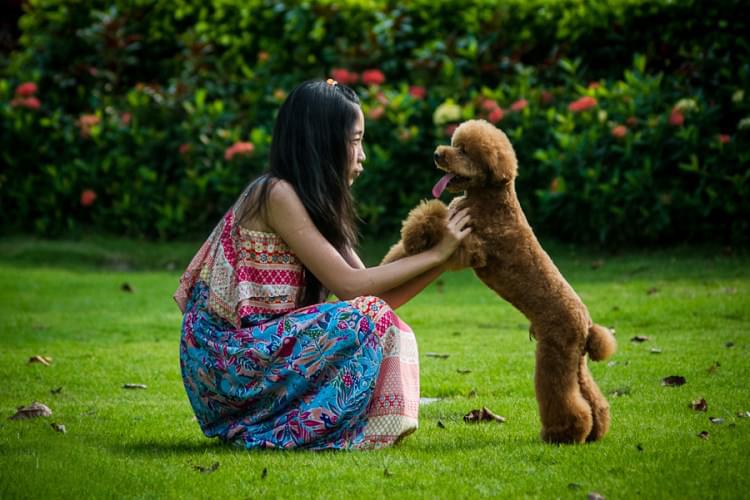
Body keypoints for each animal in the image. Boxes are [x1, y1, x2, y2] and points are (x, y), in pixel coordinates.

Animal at [384, 119, 620, 444]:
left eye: (464, 151)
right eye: (454, 144)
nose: (437, 154)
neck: (489, 199)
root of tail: (587, 326)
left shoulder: (471, 246)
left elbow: (432, 215)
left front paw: (412, 236)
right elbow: (409, 243)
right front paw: (388, 262)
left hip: (554, 352)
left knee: (563, 395)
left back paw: (563, 433)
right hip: (575, 359)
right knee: (591, 395)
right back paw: (595, 431)